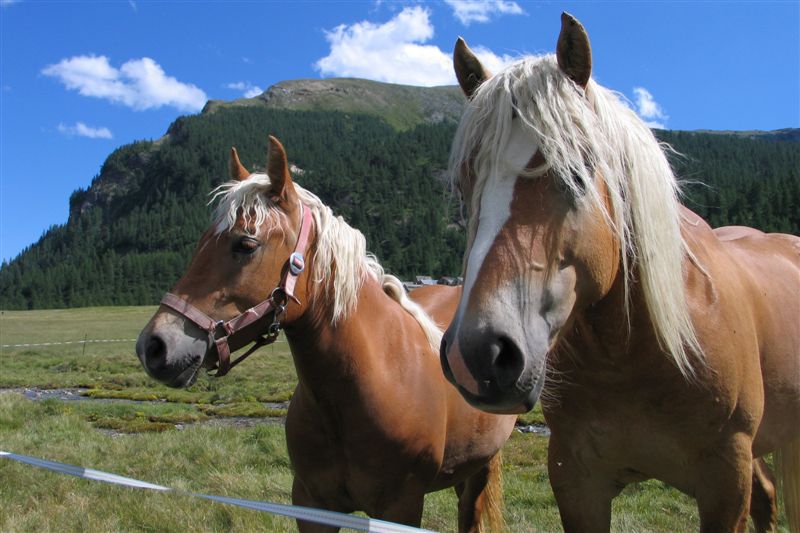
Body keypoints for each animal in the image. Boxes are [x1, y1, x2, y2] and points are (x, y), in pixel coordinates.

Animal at [135, 136, 517, 532]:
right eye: (202, 242)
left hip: (478, 469)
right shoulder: (311, 504)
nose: (154, 346)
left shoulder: (400, 508)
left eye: (246, 244)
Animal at [439, 12, 800, 533]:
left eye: (577, 172)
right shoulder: (577, 481)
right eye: (467, 185)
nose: (479, 354)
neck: (634, 353)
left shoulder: (726, 478)